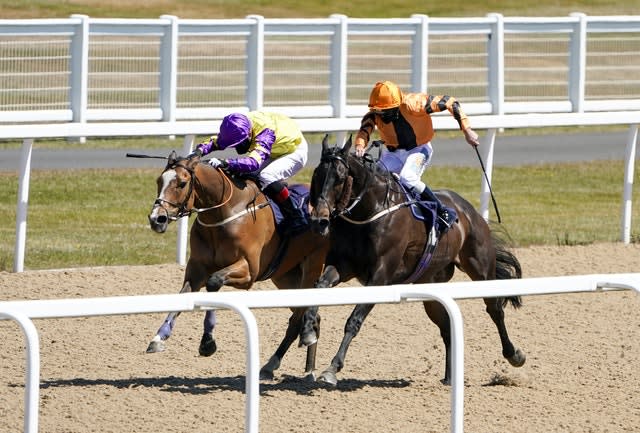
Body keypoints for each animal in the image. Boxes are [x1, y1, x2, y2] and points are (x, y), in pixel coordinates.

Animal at [147, 151, 328, 378]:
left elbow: (214, 283)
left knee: (297, 319)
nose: (157, 219)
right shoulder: (196, 268)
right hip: (285, 276)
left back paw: (278, 364)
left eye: (181, 183)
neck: (226, 212)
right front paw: (159, 337)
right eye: (158, 181)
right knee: (312, 316)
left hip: (312, 267)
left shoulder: (248, 271)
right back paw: (307, 367)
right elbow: (183, 296)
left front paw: (207, 343)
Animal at [304, 136, 524, 384]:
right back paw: (449, 377)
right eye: (316, 175)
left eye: (340, 178)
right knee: (447, 326)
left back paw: (514, 354)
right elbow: (319, 286)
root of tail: (471, 212)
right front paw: (308, 331)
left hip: (481, 269)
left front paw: (332, 368)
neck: (370, 210)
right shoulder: (343, 265)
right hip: (431, 284)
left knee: (495, 310)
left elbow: (354, 319)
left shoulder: (380, 276)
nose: (319, 221)